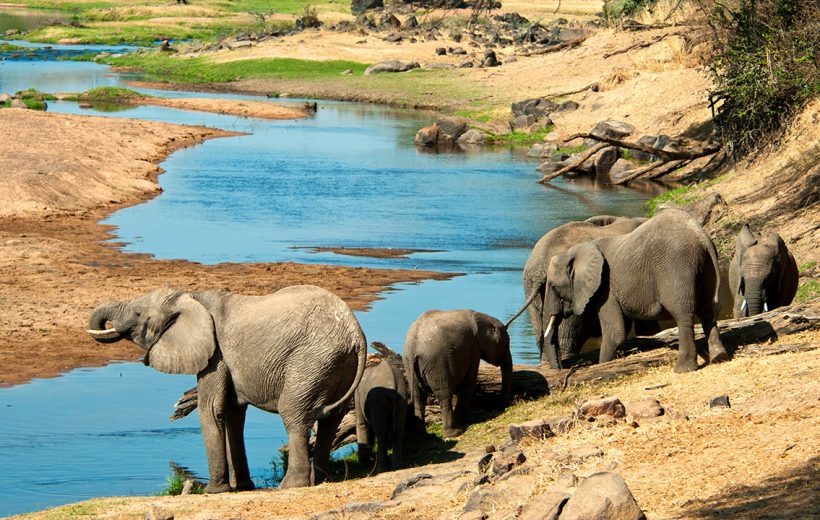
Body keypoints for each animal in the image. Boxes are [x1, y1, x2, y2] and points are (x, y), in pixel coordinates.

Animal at [87, 284, 366, 492]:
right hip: (336, 365)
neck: (191, 297)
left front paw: (214, 491)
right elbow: (233, 414)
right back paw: (321, 481)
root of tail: (355, 334)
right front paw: (242, 487)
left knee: (294, 415)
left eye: (137, 314)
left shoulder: (215, 354)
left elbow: (211, 409)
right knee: (330, 420)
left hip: (310, 360)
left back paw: (290, 486)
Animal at [352, 344, 406, 474]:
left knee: (382, 434)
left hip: (378, 400)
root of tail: (393, 383)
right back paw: (398, 466)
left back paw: (382, 470)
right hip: (402, 396)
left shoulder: (357, 394)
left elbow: (362, 424)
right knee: (399, 430)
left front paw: (364, 462)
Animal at [402, 308, 510, 438]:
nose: (503, 407)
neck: (481, 316)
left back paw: (423, 435)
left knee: (419, 396)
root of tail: (414, 346)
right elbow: (468, 382)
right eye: (505, 345)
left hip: (409, 364)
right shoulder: (474, 348)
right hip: (437, 364)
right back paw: (454, 433)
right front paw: (462, 421)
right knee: (444, 395)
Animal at [540, 207, 728, 374]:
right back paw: (719, 357)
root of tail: (700, 235)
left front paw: (603, 365)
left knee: (683, 314)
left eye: (553, 287)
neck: (577, 250)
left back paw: (682, 369)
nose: (562, 369)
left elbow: (615, 333)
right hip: (706, 267)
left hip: (676, 266)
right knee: (707, 310)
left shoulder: (606, 289)